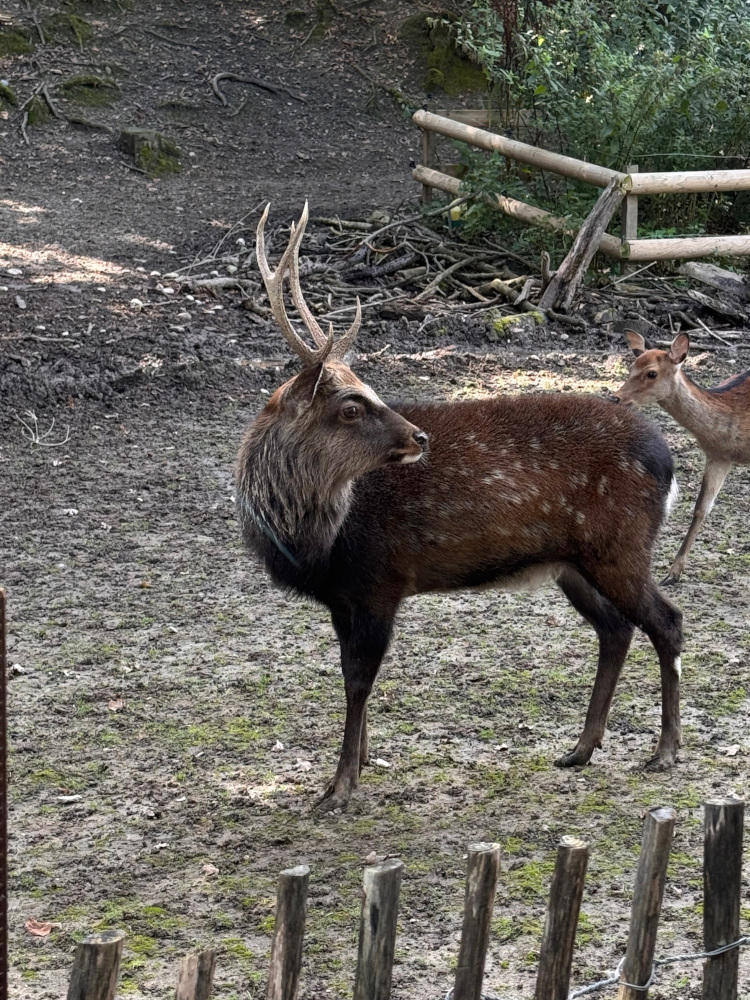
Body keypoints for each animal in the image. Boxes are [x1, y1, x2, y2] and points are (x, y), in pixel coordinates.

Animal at [235, 203, 684, 812]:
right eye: (351, 405)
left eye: (367, 393)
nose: (419, 437)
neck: (316, 541)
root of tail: (668, 462)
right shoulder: (341, 596)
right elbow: (350, 676)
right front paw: (362, 762)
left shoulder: (380, 581)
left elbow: (358, 681)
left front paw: (340, 787)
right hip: (573, 562)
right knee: (616, 629)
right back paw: (580, 749)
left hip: (621, 545)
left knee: (668, 621)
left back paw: (665, 751)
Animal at [613, 331, 750, 585]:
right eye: (631, 367)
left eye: (652, 373)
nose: (615, 398)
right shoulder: (718, 456)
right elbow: (700, 509)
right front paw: (672, 573)